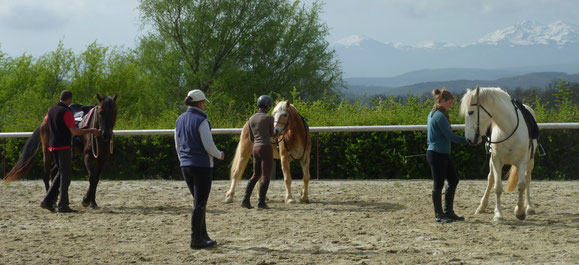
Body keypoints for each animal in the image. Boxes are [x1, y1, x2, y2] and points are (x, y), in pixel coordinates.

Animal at [462, 86, 540, 221]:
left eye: (471, 112)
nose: (469, 139)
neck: (508, 128)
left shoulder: (523, 161)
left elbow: (521, 185)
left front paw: (520, 211)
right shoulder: (496, 161)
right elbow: (497, 187)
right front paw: (498, 214)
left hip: (530, 161)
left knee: (527, 179)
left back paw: (529, 207)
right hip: (491, 162)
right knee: (491, 179)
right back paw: (482, 206)